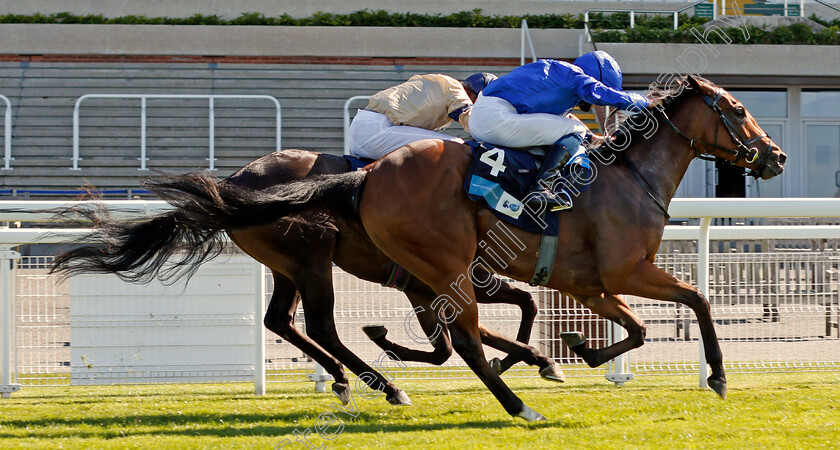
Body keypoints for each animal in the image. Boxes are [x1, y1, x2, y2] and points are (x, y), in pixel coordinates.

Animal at [47, 149, 564, 406]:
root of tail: (234, 182)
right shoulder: (451, 277)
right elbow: (509, 312)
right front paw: (530, 360)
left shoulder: (430, 285)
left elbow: (469, 335)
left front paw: (533, 358)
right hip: (312, 259)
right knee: (320, 325)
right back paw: (384, 386)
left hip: (287, 265)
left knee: (280, 320)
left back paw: (342, 377)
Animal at [108, 74, 784, 418]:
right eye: (739, 107)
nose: (774, 155)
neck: (625, 175)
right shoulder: (624, 270)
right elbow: (697, 300)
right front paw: (718, 376)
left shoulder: (587, 282)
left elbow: (631, 328)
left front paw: (573, 351)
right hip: (342, 260)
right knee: (371, 330)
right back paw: (495, 401)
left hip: (310, 265)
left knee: (288, 321)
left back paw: (367, 378)